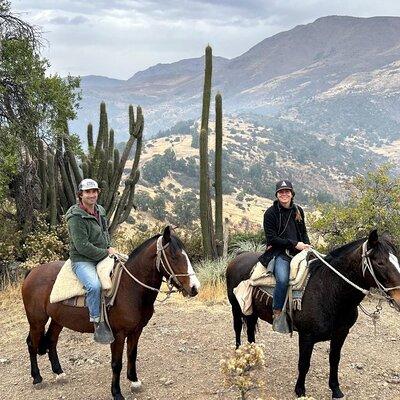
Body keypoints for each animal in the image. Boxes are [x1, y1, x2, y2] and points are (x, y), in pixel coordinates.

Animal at [21, 227, 200, 398]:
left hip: (58, 320)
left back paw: (59, 373)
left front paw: (134, 381)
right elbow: (116, 363)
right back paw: (37, 378)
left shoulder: (136, 331)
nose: (194, 288)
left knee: (51, 340)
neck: (129, 287)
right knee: (31, 343)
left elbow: (132, 355)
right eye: (174, 256)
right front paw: (116, 392)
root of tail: (32, 272)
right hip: (36, 320)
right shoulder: (118, 334)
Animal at [227, 230, 400, 398]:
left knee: (250, 330)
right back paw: (240, 359)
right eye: (380, 262)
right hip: (236, 307)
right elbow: (304, 364)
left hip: (252, 311)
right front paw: (300, 390)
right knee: (237, 328)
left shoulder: (341, 333)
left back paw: (252, 359)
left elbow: (334, 359)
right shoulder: (306, 336)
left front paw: (335, 389)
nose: (399, 298)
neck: (330, 290)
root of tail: (238, 257)